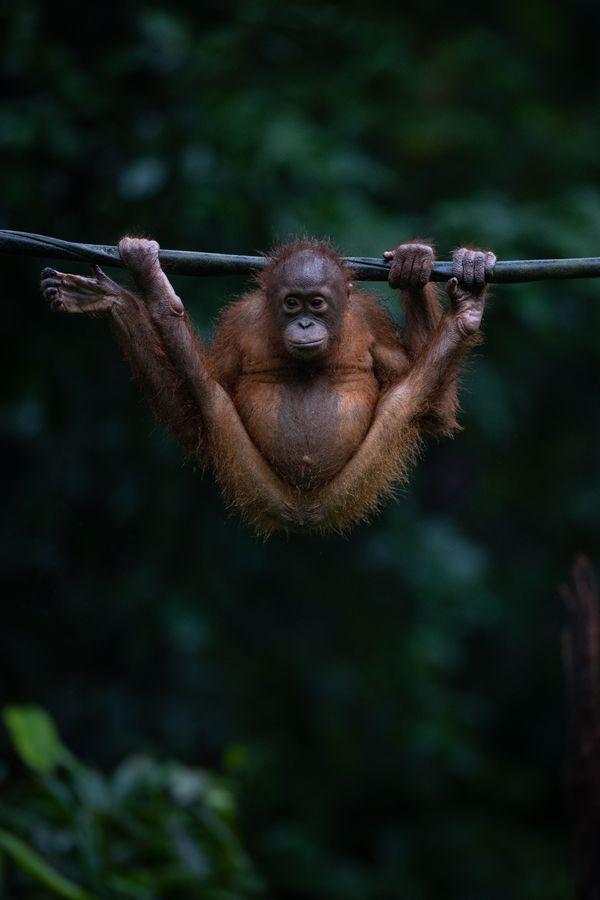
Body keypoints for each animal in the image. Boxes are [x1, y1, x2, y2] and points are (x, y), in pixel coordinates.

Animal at [40, 237, 495, 534]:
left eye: (317, 303)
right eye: (292, 303)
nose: (305, 324)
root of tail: (304, 512)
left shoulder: (371, 322)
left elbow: (436, 413)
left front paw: (414, 266)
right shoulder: (240, 322)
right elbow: (192, 417)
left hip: (355, 483)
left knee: (404, 399)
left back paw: (464, 316)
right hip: (252, 478)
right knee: (209, 395)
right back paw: (150, 296)